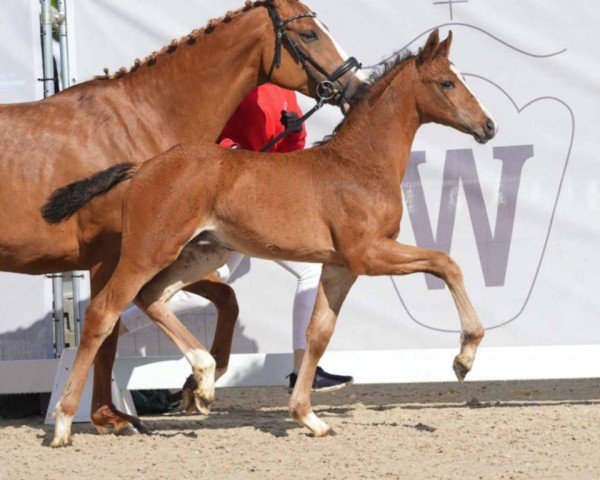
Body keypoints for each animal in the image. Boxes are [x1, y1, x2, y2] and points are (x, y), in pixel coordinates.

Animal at [45, 28, 496, 444]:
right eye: (448, 83)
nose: (488, 126)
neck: (358, 164)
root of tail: (143, 167)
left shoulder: (339, 267)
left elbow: (319, 334)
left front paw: (308, 417)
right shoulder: (367, 254)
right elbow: (446, 262)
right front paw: (464, 358)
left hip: (200, 254)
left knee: (152, 297)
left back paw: (203, 381)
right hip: (149, 251)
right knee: (105, 311)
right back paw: (66, 422)